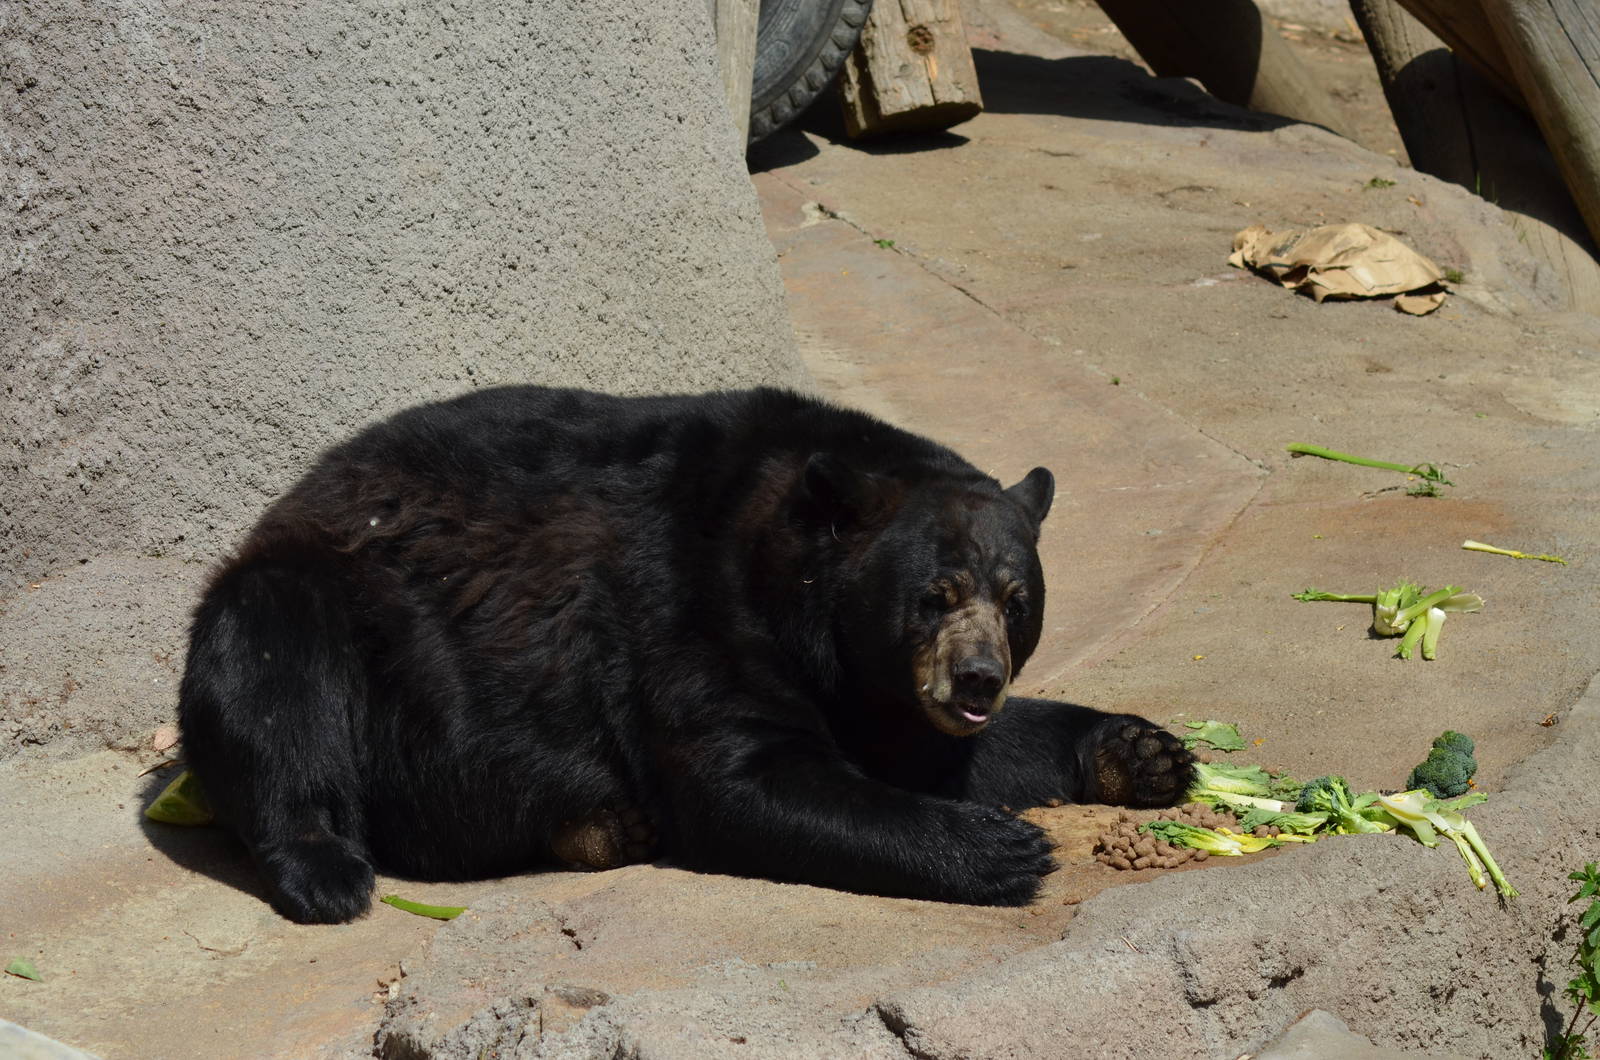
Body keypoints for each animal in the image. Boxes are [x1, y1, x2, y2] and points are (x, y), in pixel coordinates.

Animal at [177, 386, 1193, 923]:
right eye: (933, 594)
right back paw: (328, 870)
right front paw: (1001, 849)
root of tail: (294, 493)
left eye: (1017, 602)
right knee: (273, 682)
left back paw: (600, 828)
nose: (977, 677)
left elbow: (947, 749)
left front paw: (1145, 752)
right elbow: (745, 778)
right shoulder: (684, 607)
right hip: (331, 604)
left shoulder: (886, 691)